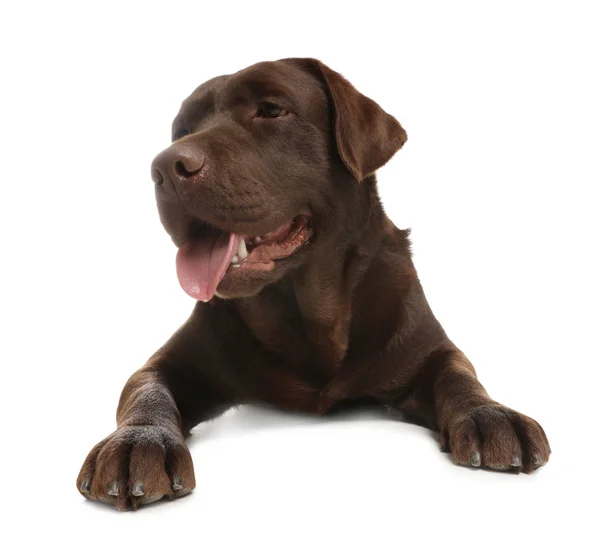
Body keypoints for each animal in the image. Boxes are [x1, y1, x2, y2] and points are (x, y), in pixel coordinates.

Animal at [77, 59, 552, 510]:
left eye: (271, 109)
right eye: (181, 130)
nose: (164, 167)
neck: (309, 319)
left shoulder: (425, 344)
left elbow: (457, 374)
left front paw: (490, 414)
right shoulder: (173, 361)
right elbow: (145, 391)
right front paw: (139, 441)